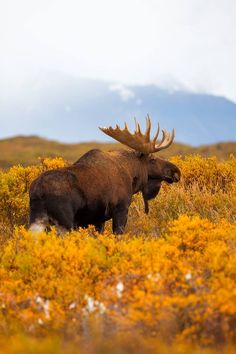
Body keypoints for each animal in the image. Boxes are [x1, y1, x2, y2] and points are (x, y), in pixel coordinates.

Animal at [29, 115, 181, 235]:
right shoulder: (121, 209)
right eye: (152, 159)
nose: (176, 171)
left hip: (37, 220)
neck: (131, 175)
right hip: (64, 221)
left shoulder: (97, 219)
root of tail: (37, 192)